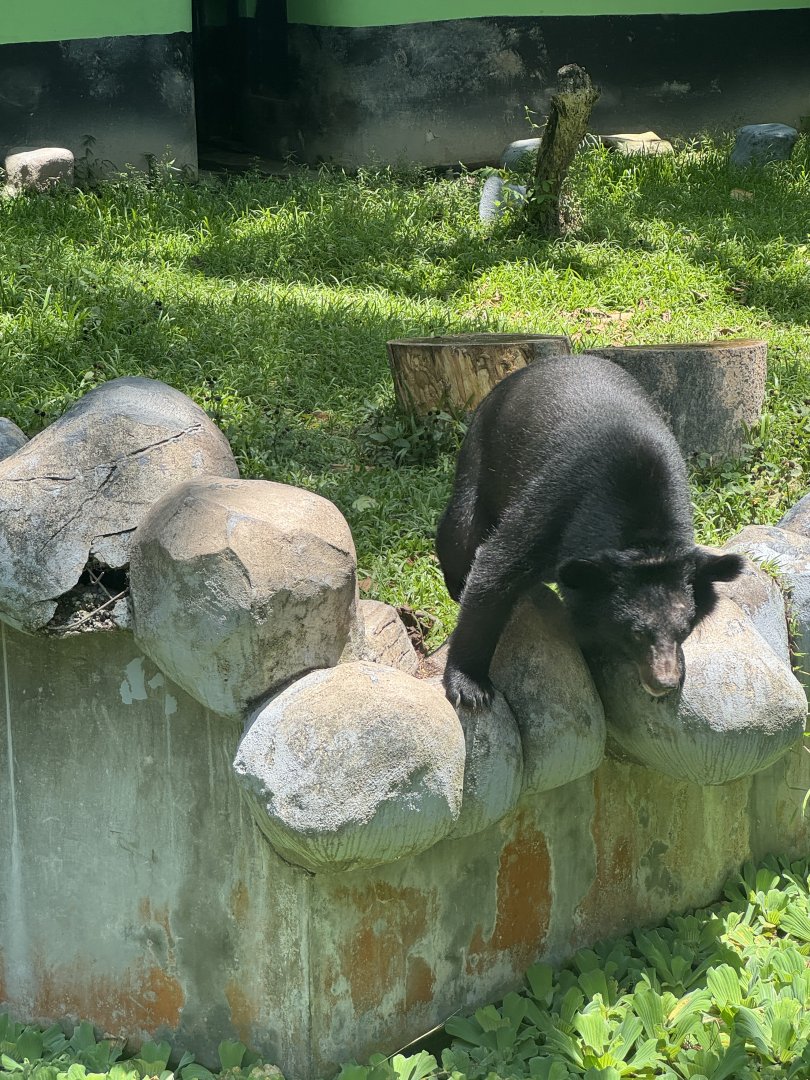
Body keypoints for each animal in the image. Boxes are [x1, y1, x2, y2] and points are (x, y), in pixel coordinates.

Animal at [436, 353, 744, 709]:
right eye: (635, 632)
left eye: (684, 629)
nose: (663, 683)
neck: (644, 540)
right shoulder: (558, 504)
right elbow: (494, 569)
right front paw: (470, 688)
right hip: (482, 453)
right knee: (460, 533)